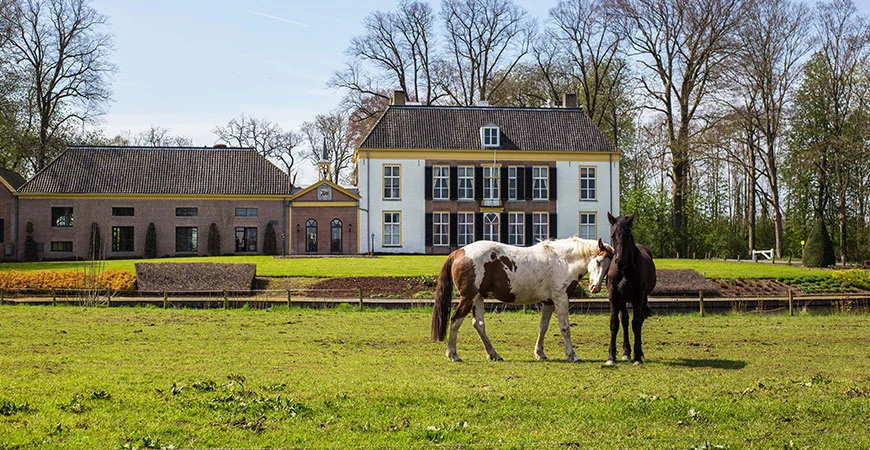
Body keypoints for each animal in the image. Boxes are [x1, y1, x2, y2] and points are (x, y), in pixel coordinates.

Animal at [431, 237, 613, 362]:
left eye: (608, 267)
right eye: (598, 261)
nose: (595, 288)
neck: (563, 260)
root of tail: (459, 252)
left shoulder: (549, 302)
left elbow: (543, 327)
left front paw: (540, 353)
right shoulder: (560, 298)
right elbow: (565, 328)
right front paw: (572, 355)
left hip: (478, 297)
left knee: (479, 324)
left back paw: (493, 354)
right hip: (468, 298)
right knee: (455, 320)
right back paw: (453, 354)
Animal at [606, 213, 656, 365]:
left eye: (628, 234)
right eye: (612, 235)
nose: (619, 260)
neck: (624, 271)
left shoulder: (638, 297)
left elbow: (637, 323)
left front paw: (637, 357)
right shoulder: (614, 296)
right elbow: (615, 323)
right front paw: (611, 357)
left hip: (640, 299)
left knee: (638, 320)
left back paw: (637, 353)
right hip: (623, 300)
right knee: (624, 321)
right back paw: (626, 352)